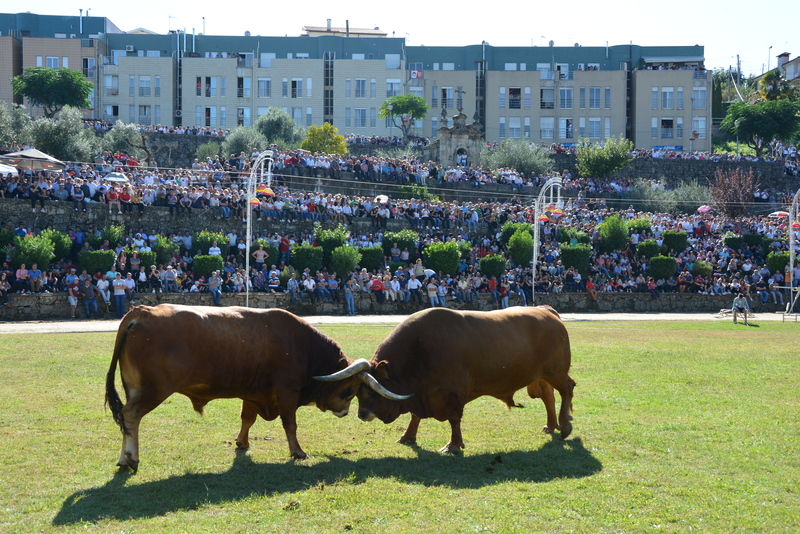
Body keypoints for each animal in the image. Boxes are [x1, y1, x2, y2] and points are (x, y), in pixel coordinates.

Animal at [105, 306, 404, 474]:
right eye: (349, 391)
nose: (345, 412)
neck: (304, 346)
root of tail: (142, 311)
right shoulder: (287, 391)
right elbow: (290, 424)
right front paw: (297, 452)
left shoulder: (252, 393)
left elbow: (247, 419)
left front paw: (242, 442)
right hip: (151, 391)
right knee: (131, 416)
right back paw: (130, 458)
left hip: (134, 389)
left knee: (127, 421)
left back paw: (123, 458)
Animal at [314, 308, 576, 454]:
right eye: (356, 391)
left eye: (369, 392)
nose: (362, 415)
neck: (420, 349)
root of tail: (548, 312)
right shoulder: (420, 393)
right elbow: (415, 416)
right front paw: (408, 437)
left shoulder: (453, 393)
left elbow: (454, 418)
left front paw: (453, 445)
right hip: (542, 376)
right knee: (549, 396)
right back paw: (551, 425)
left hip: (555, 372)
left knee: (567, 389)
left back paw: (564, 425)